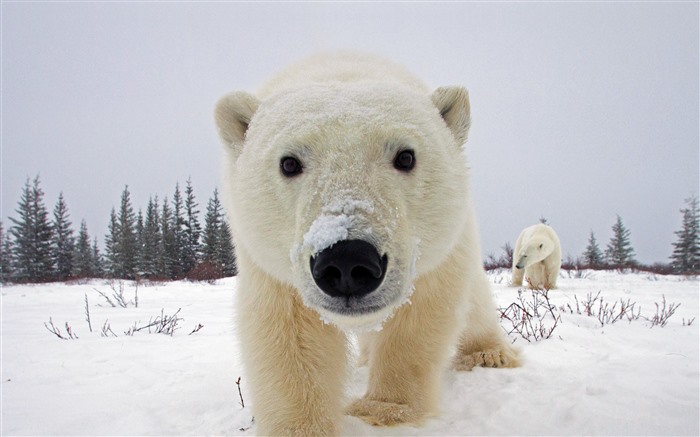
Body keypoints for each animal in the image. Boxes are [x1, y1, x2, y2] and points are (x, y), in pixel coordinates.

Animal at [216, 52, 516, 436]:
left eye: (406, 156)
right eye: (289, 162)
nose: (347, 261)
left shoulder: (435, 253)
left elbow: (419, 317)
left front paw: (383, 410)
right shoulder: (270, 264)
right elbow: (289, 334)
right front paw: (302, 426)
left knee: (475, 302)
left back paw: (489, 354)